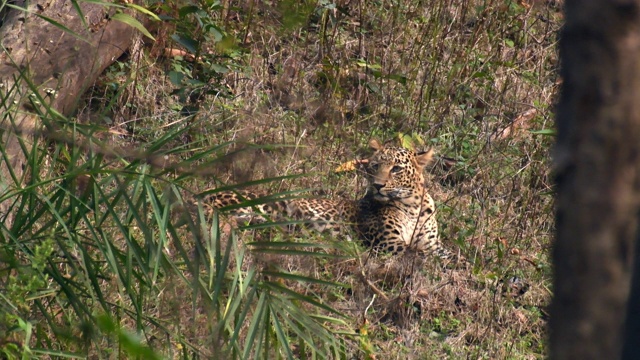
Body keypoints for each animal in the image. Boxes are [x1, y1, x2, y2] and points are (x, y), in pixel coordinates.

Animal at [205, 137, 456, 258]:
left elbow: (446, 253)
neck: (412, 207)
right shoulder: (387, 243)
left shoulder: (432, 243)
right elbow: (424, 256)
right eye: (375, 165)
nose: (377, 185)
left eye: (396, 169)